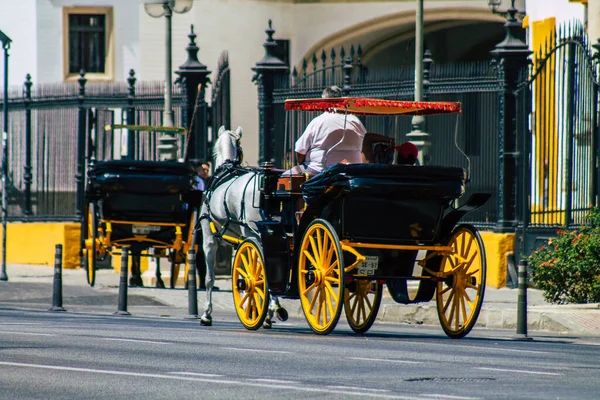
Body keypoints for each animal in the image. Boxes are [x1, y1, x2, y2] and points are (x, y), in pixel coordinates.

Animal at [200, 126, 288, 326]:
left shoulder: (209, 239)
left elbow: (210, 278)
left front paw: (207, 313)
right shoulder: (242, 242)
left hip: (253, 234)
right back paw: (272, 310)